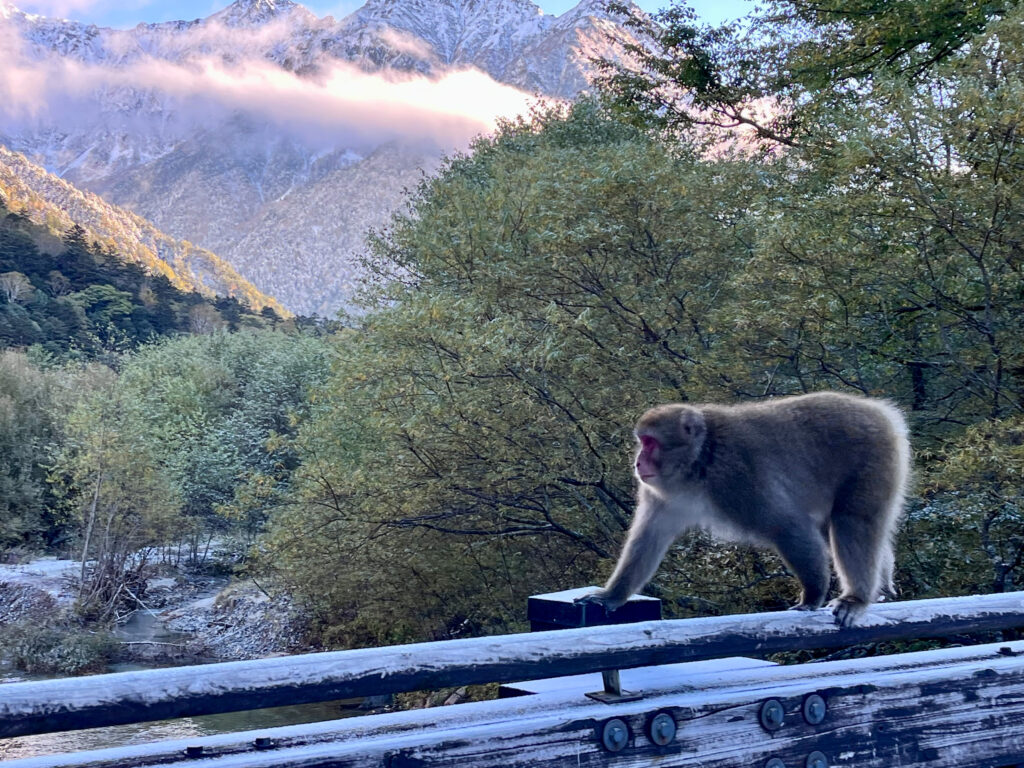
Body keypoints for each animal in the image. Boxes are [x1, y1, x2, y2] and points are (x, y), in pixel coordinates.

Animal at [577, 393, 913, 626]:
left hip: (873, 458)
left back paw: (857, 597)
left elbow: (785, 525)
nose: (638, 461)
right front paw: (611, 596)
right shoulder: (661, 494)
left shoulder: (736, 479)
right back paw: (880, 588)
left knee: (852, 521)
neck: (701, 459)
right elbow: (648, 538)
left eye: (650, 443)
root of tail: (880, 412)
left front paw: (813, 594)